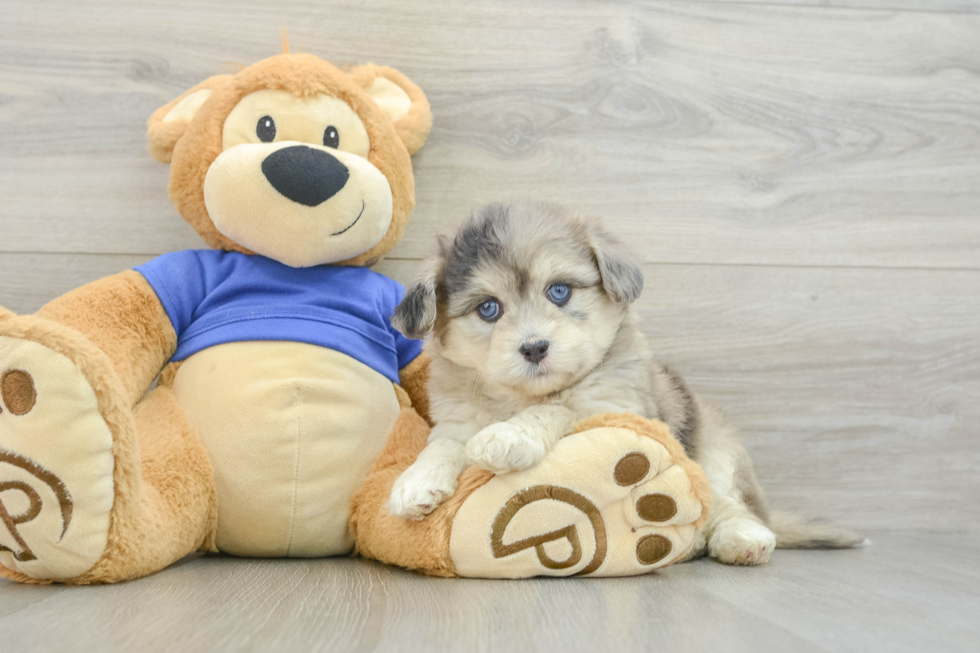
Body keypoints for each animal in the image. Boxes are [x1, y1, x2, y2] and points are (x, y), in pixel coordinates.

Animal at [386, 201, 860, 564]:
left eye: (559, 291)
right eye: (488, 308)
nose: (534, 347)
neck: (518, 397)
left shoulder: (613, 409)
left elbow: (556, 409)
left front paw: (508, 436)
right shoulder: (455, 422)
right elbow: (442, 448)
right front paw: (415, 483)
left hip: (714, 451)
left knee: (728, 505)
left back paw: (739, 539)